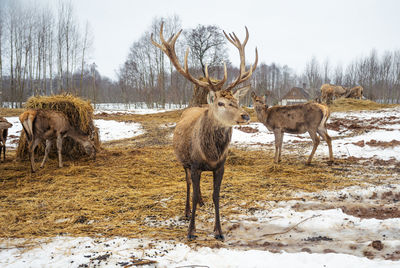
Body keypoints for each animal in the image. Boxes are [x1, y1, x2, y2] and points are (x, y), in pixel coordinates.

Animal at [152, 23, 258, 241]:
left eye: (236, 100)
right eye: (221, 103)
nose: (245, 115)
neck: (210, 154)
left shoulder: (221, 166)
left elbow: (216, 196)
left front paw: (219, 231)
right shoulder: (194, 164)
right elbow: (192, 192)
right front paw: (191, 231)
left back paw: (201, 202)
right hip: (183, 161)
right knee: (188, 185)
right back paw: (186, 211)